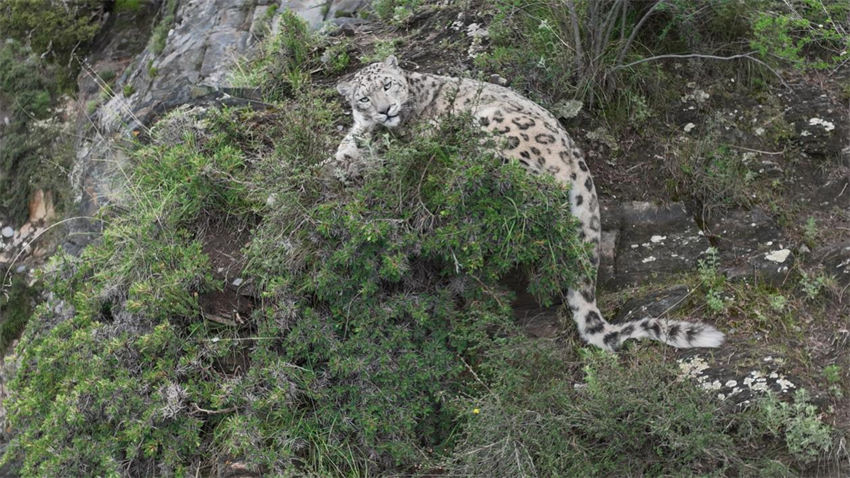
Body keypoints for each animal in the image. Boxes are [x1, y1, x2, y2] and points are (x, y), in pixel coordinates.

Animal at [334, 55, 724, 351]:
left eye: (388, 85)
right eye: (364, 98)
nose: (386, 111)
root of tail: (576, 156)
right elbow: (343, 153)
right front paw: (345, 158)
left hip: (492, 126)